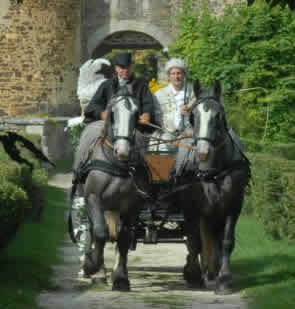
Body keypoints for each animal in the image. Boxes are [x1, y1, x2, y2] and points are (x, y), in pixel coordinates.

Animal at [72, 88, 148, 288]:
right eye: (112, 112)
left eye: (136, 113)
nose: (122, 151)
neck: (116, 165)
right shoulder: (93, 198)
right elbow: (100, 232)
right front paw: (91, 265)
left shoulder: (133, 206)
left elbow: (124, 238)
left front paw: (121, 277)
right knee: (93, 228)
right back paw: (96, 269)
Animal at [176, 80, 252, 292]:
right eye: (193, 116)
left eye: (218, 116)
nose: (203, 152)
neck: (214, 170)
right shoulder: (193, 208)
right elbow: (194, 240)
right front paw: (194, 273)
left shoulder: (233, 206)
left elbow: (226, 242)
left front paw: (224, 278)